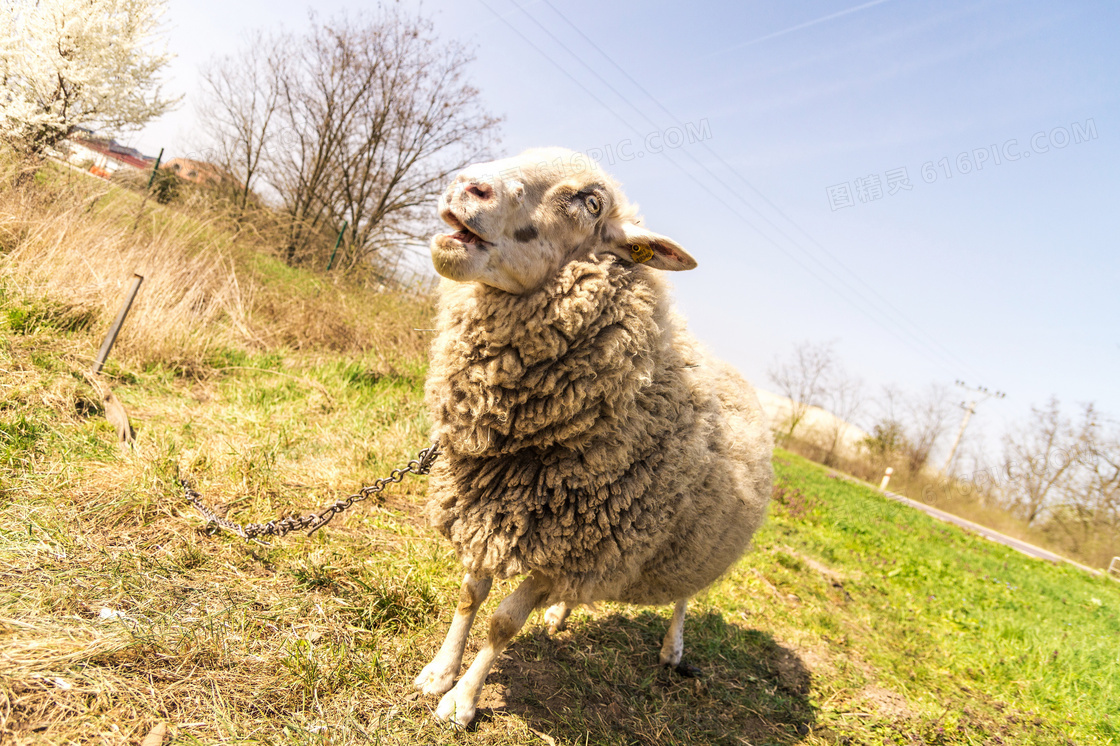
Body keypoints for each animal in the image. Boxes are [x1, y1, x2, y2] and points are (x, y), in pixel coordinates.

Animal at [412, 147, 770, 721]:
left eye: (591, 202)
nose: (469, 186)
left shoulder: (574, 545)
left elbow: (503, 623)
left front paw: (462, 701)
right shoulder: (487, 512)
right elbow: (470, 595)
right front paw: (438, 674)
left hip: (693, 544)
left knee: (684, 597)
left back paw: (673, 649)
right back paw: (559, 614)